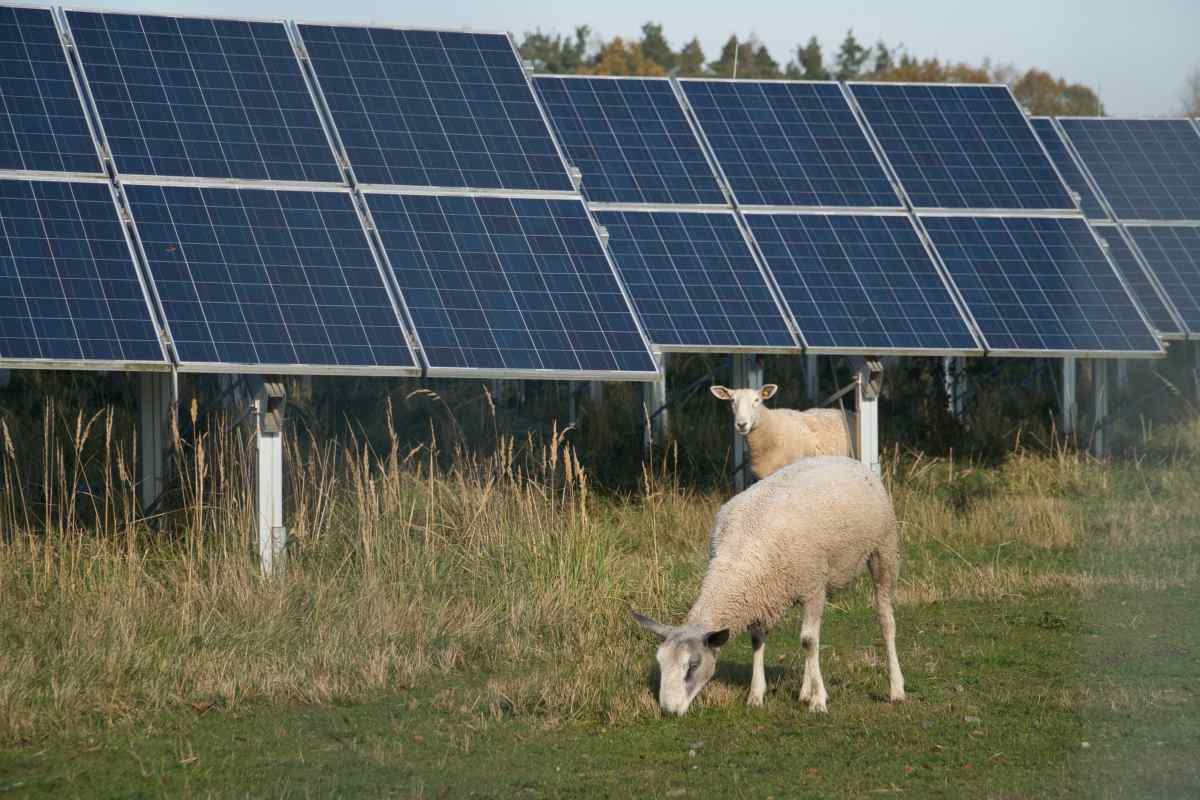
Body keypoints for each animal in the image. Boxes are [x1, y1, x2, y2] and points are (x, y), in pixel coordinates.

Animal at [633, 453, 902, 714]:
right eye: (660, 662)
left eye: (693, 665)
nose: (669, 710)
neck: (741, 553)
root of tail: (848, 459)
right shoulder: (760, 594)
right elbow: (760, 641)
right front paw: (756, 695)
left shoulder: (814, 586)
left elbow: (809, 641)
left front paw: (819, 702)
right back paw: (805, 691)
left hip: (883, 550)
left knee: (884, 619)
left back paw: (896, 689)